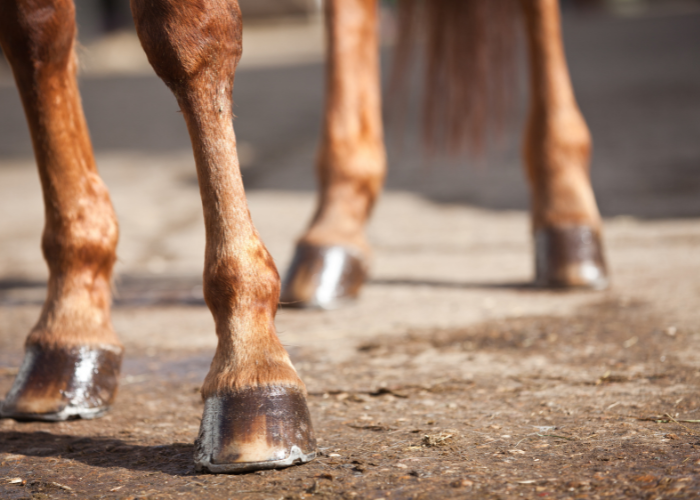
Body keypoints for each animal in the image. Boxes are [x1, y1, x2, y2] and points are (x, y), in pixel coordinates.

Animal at [0, 0, 607, 473]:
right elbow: (34, 29)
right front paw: (71, 325)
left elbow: (183, 30)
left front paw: (250, 363)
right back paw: (336, 231)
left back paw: (568, 219)